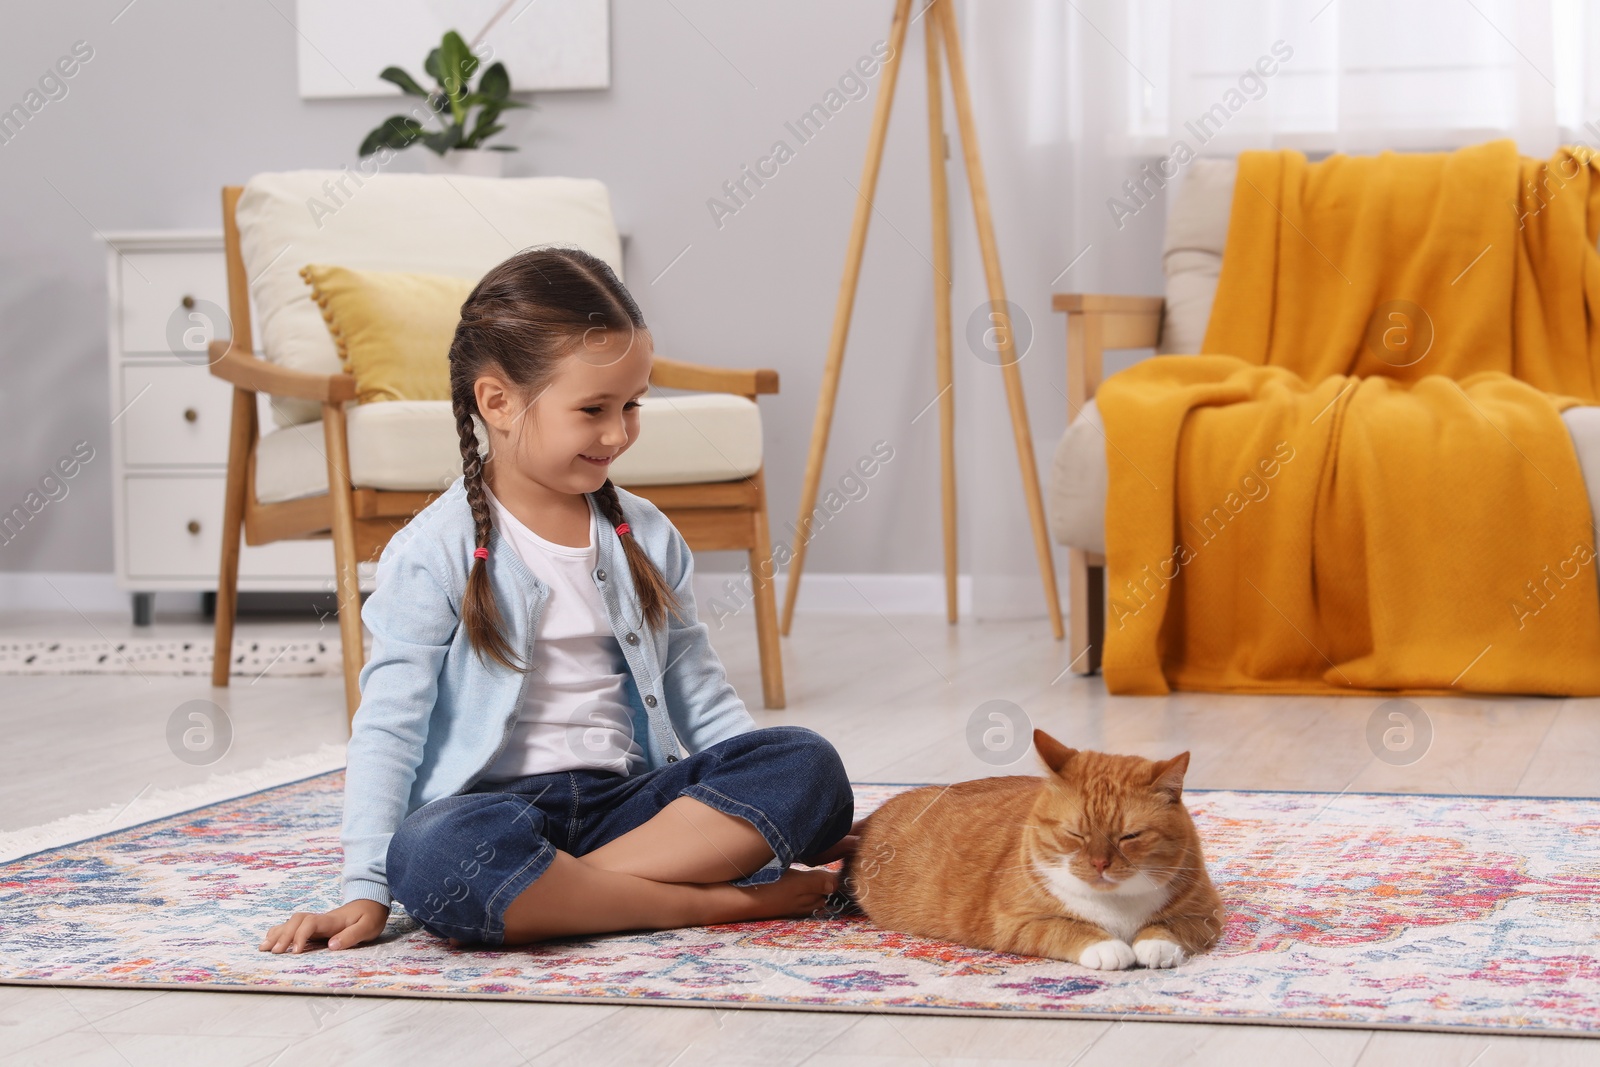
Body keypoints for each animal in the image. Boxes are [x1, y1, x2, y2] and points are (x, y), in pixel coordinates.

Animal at [851, 729, 1222, 972]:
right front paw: (1108, 947)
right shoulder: (1015, 922)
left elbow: (1170, 928)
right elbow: (1065, 927)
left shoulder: (1207, 915)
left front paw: (1155, 944)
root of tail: (876, 812)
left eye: (1130, 836)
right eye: (1075, 834)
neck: (1116, 906)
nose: (1099, 863)